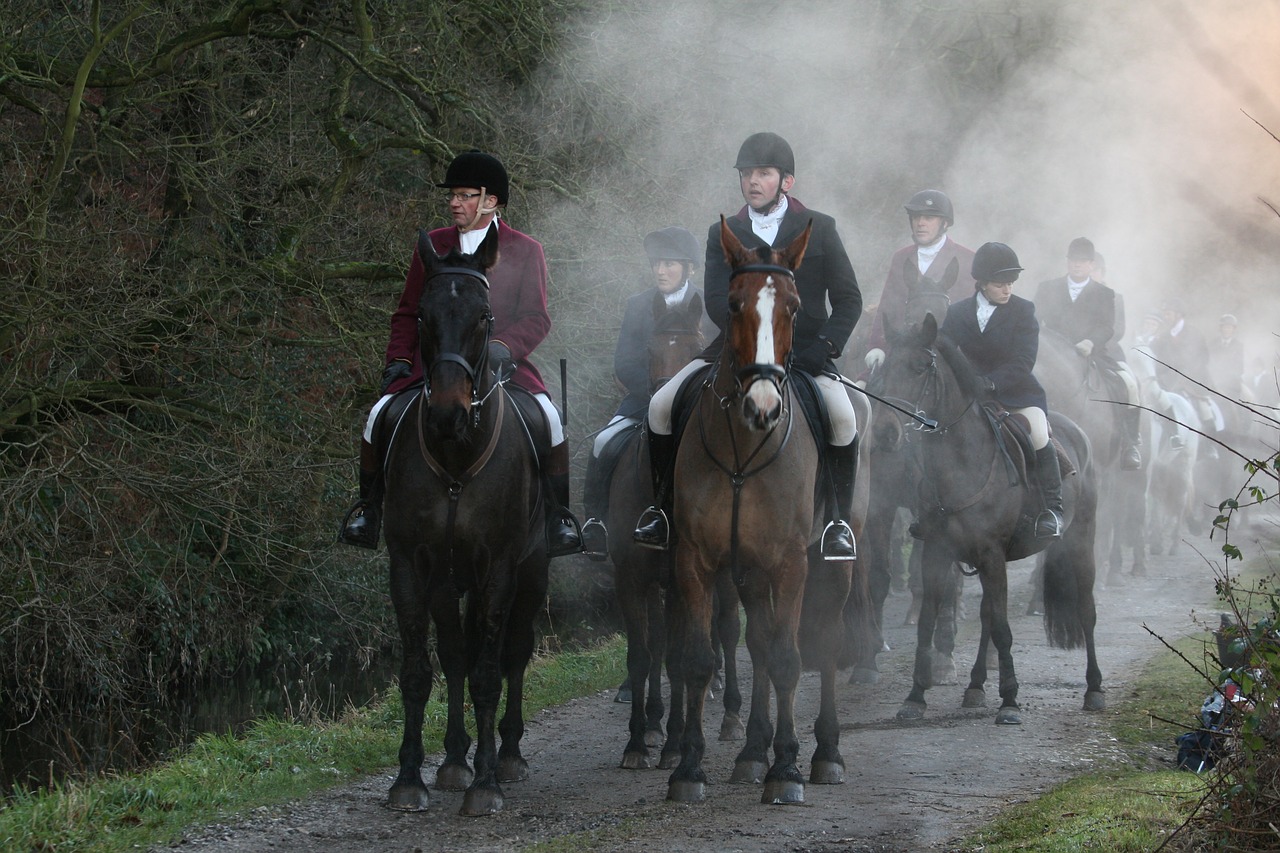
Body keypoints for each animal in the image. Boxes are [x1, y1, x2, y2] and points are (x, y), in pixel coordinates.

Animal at [373, 229, 545, 814]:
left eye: (484, 315)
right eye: (423, 316)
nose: (447, 412)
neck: (454, 458)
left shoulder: (500, 569)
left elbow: (490, 674)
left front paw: (486, 783)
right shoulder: (411, 565)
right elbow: (420, 671)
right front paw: (409, 777)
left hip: (532, 570)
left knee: (513, 653)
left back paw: (508, 754)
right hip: (449, 582)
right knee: (453, 656)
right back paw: (452, 759)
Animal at [601, 300, 747, 768]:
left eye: (695, 345)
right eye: (649, 349)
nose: (667, 404)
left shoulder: (685, 581)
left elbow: (678, 658)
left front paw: (675, 741)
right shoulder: (632, 579)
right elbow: (642, 655)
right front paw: (639, 739)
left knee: (725, 630)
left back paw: (729, 715)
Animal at [665, 216, 855, 799]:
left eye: (794, 306)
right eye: (732, 304)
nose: (763, 408)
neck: (741, 453)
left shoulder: (791, 561)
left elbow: (791, 659)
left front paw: (788, 768)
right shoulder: (696, 560)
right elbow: (701, 660)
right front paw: (689, 767)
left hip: (832, 562)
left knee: (823, 639)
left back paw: (826, 753)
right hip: (748, 571)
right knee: (760, 644)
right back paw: (752, 751)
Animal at [880, 315, 1100, 722]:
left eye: (919, 367)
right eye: (885, 366)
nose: (885, 431)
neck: (961, 460)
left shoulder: (993, 556)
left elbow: (1002, 627)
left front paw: (1010, 701)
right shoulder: (939, 553)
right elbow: (929, 622)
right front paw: (915, 697)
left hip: (1081, 542)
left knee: (1086, 612)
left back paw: (1094, 689)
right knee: (984, 617)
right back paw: (975, 686)